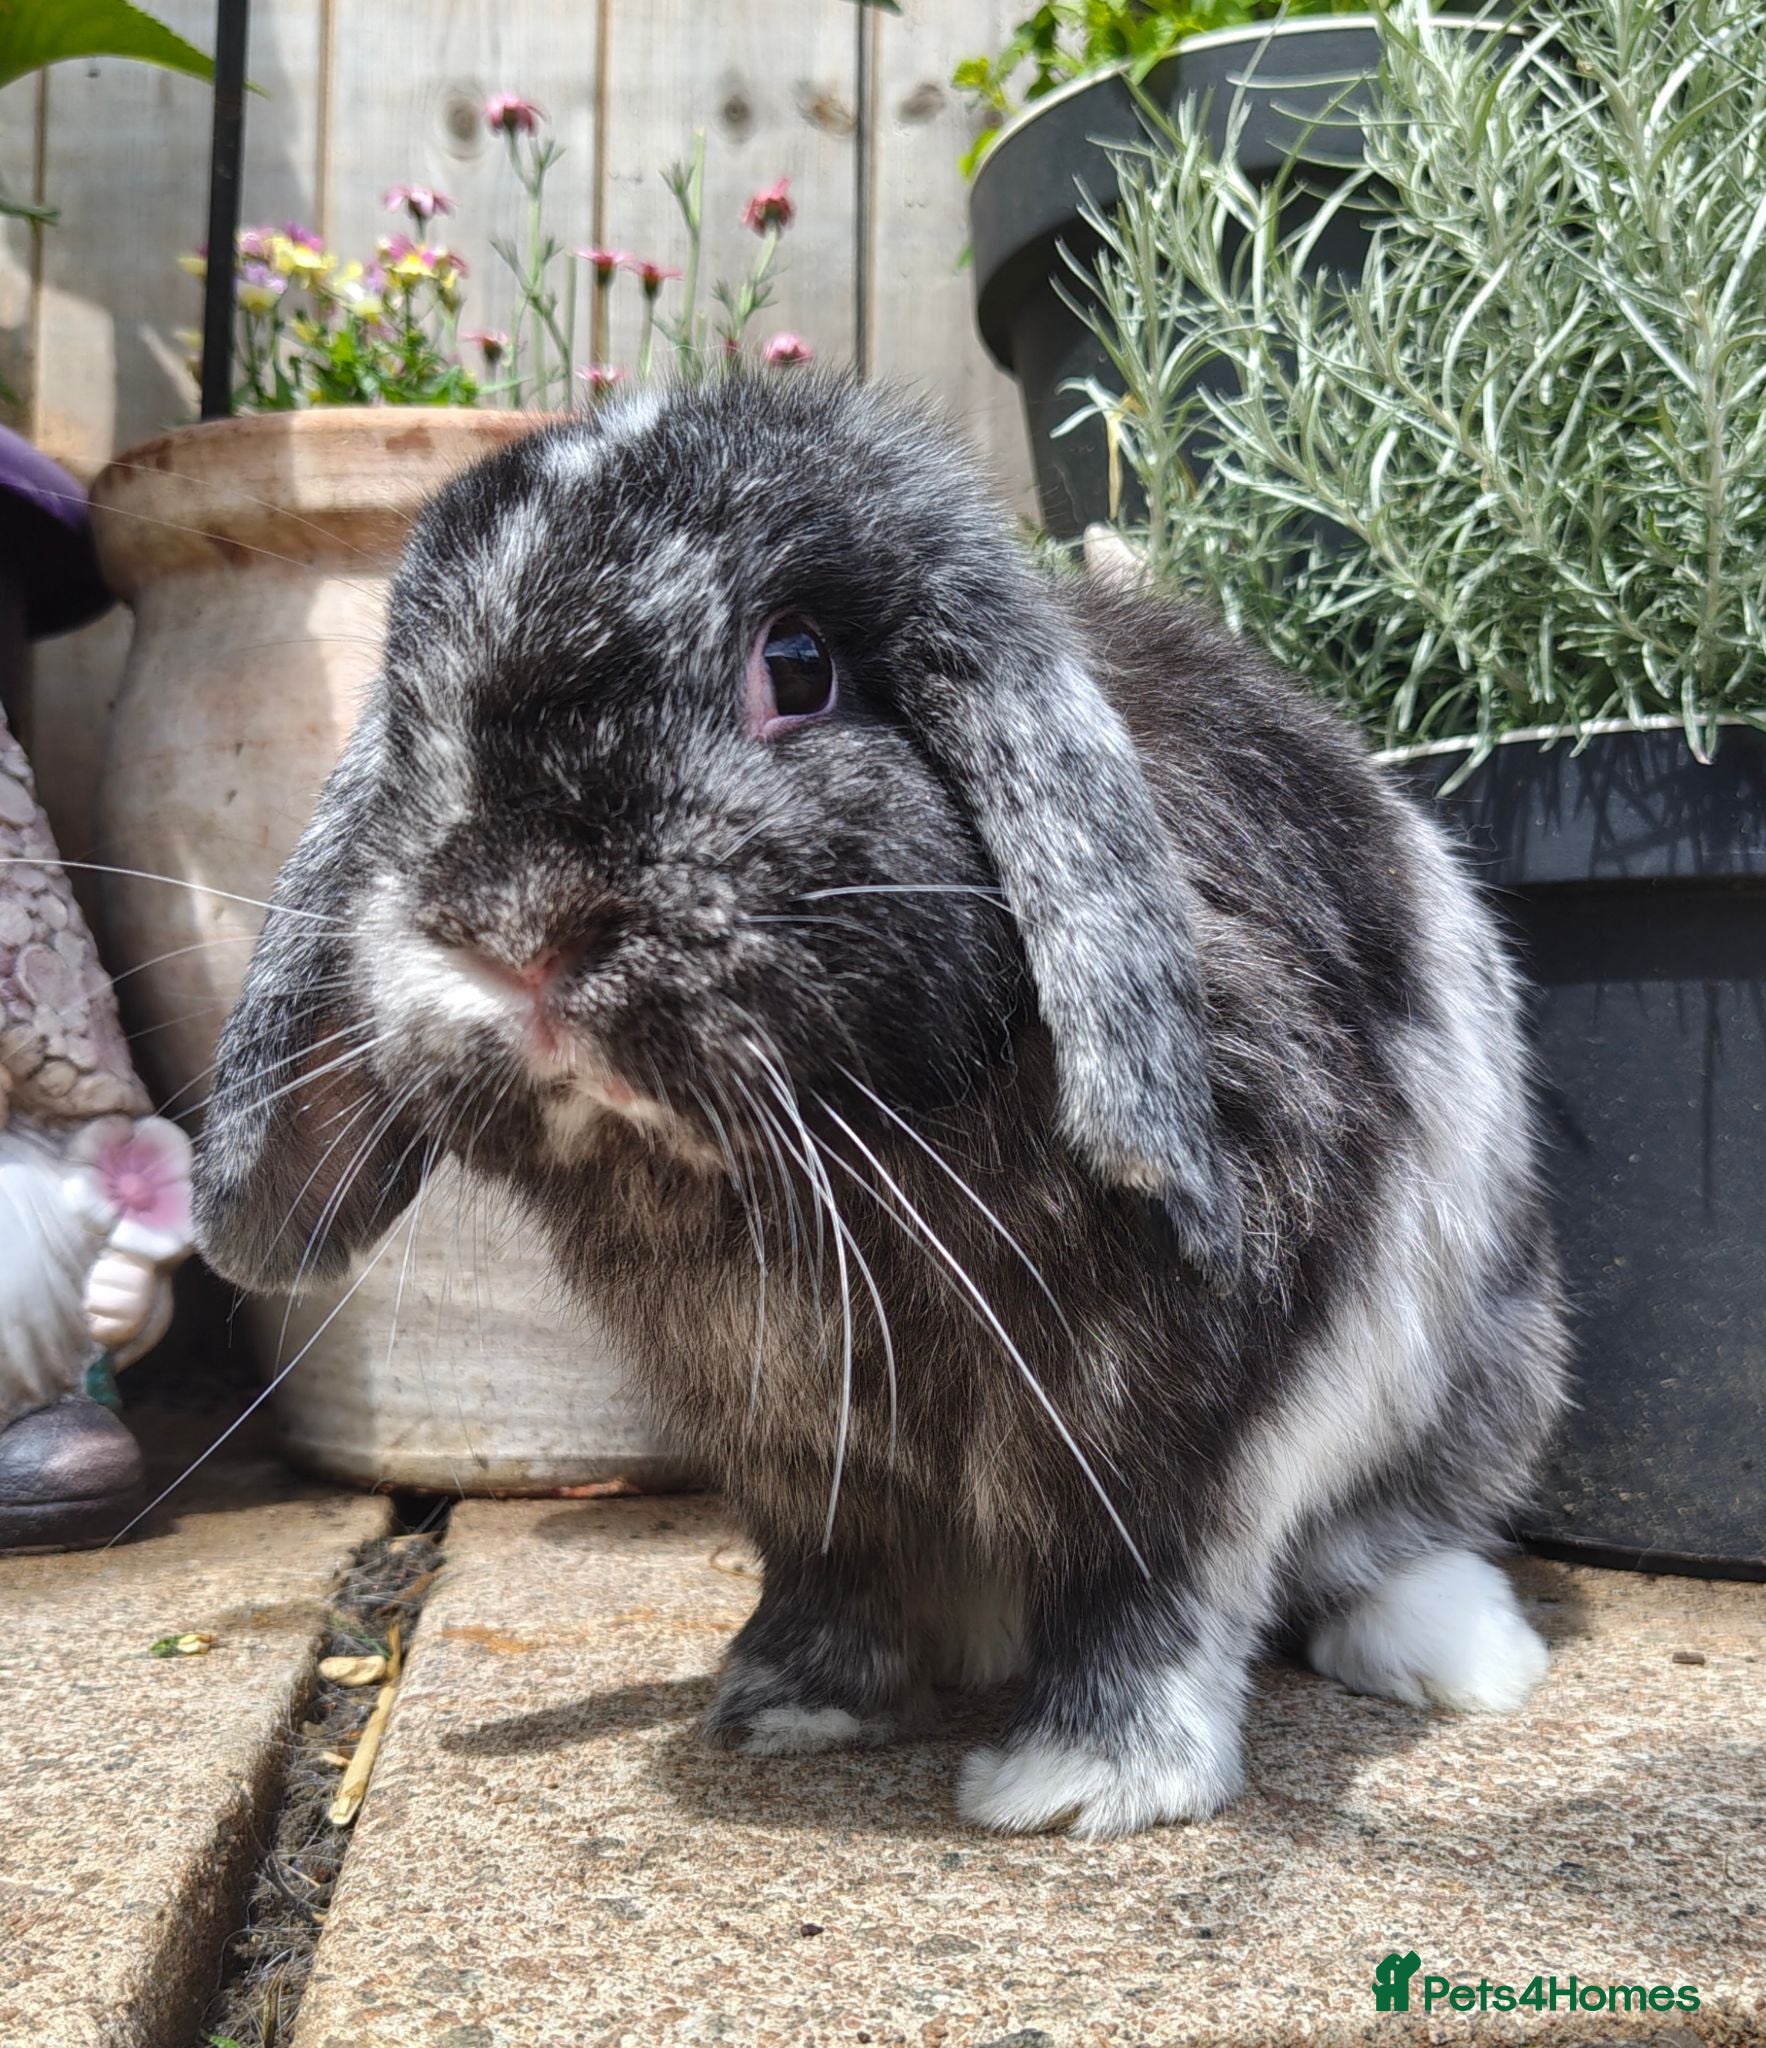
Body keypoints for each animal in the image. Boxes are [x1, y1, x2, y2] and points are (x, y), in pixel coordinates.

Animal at [194, 374, 1569, 1839]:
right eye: (408, 720)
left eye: (797, 665)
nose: (510, 936)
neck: (840, 1160)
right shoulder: (796, 1450)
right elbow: (825, 1573)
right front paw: (782, 1710)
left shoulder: (1198, 1410)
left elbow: (1152, 1584)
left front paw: (1081, 1784)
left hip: (1486, 1374)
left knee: (1393, 1535)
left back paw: (1460, 1657)